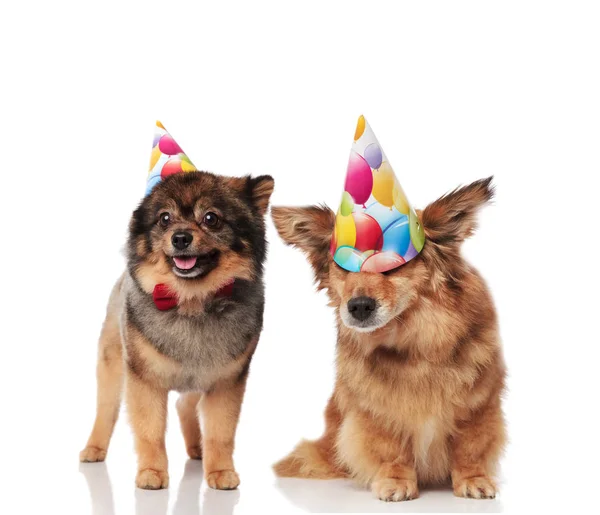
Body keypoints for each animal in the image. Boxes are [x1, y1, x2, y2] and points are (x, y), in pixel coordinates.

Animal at [79, 171, 274, 490]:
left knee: (185, 404)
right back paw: (94, 448)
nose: (180, 237)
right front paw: (152, 472)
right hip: (112, 364)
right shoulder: (144, 379)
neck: (192, 300)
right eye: (164, 219)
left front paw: (220, 471)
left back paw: (198, 449)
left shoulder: (226, 381)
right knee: (106, 409)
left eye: (211, 218)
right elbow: (150, 430)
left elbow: (221, 433)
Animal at [272, 178, 506, 504]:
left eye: (391, 267)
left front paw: (473, 479)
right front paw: (396, 481)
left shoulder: (479, 406)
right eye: (343, 268)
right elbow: (392, 450)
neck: (416, 342)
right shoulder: (378, 412)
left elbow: (470, 448)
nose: (359, 306)